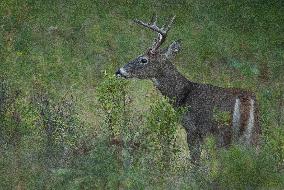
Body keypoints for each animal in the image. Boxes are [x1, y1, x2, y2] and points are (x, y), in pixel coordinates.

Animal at [115, 15, 260, 163]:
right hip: (254, 135)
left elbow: (195, 160)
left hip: (224, 133)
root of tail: (245, 100)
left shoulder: (192, 128)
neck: (183, 95)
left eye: (143, 60)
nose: (119, 71)